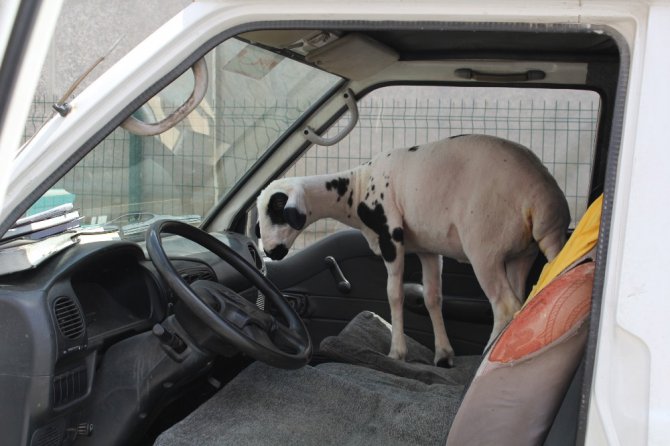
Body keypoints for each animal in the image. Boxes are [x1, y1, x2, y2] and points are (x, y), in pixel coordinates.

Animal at [258, 134, 572, 368]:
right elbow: (432, 298)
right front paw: (443, 354)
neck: (357, 189)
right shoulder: (428, 250)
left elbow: (394, 294)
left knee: (506, 306)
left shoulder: (391, 237)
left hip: (485, 248)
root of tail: (542, 200)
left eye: (276, 209)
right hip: (524, 253)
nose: (271, 252)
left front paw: (397, 352)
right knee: (522, 299)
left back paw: (487, 354)